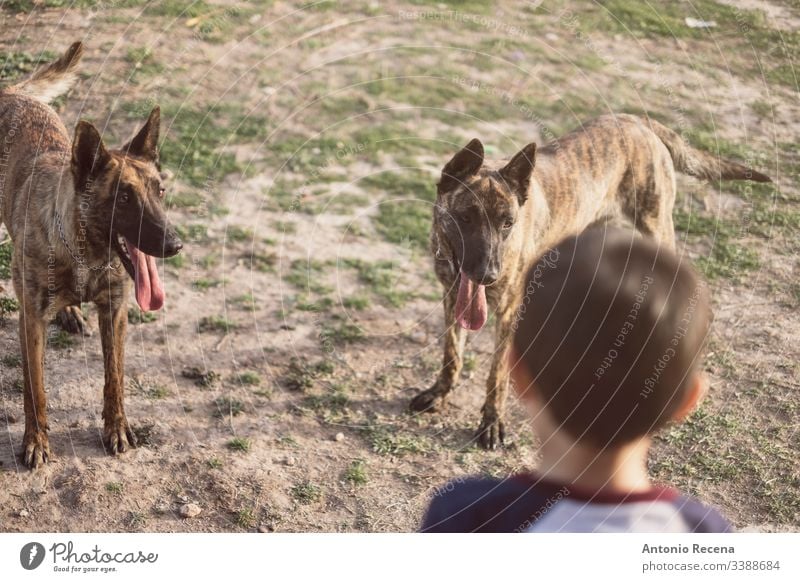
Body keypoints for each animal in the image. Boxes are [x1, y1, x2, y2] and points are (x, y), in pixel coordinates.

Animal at [0, 41, 183, 470]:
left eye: (160, 191)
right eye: (124, 198)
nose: (174, 245)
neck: (84, 252)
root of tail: (11, 91)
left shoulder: (114, 312)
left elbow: (114, 378)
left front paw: (117, 428)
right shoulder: (31, 321)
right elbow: (35, 390)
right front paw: (36, 441)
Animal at [412, 115, 768, 452]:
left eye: (507, 223)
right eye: (465, 217)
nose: (489, 274)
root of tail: (635, 119)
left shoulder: (509, 311)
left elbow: (496, 374)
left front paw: (492, 422)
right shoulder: (451, 297)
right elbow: (452, 353)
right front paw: (440, 393)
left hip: (655, 225)